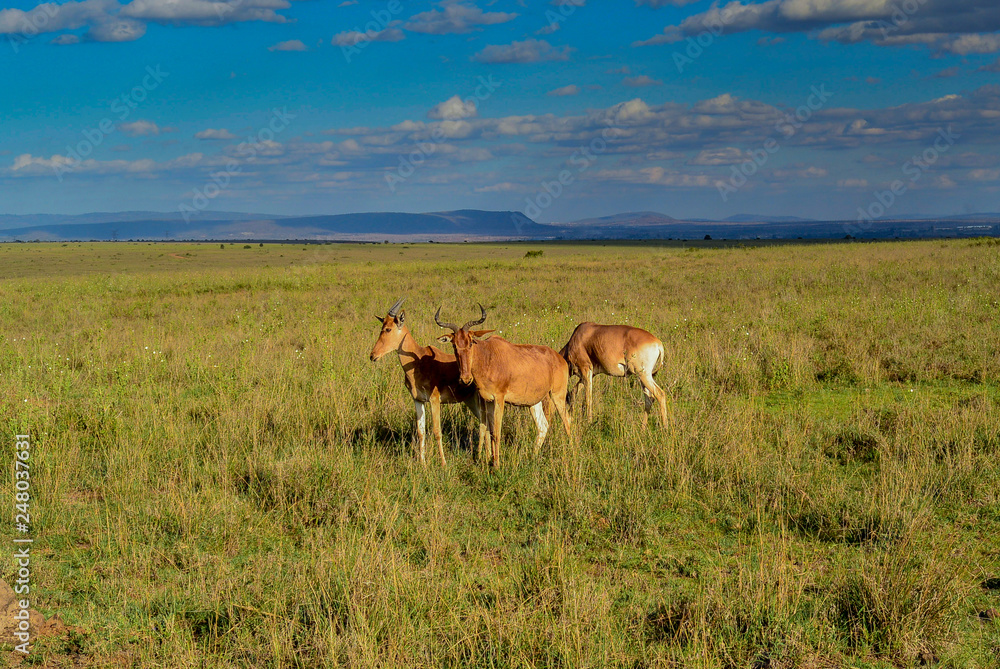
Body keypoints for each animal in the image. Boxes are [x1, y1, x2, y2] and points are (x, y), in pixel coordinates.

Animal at [369, 297, 487, 465]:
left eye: (388, 329)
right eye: (382, 326)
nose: (373, 355)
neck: (419, 360)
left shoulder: (434, 400)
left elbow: (437, 431)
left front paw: (443, 463)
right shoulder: (418, 400)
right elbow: (421, 432)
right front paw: (422, 463)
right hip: (470, 401)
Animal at [435, 305, 573, 469]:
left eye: (471, 342)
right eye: (454, 345)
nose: (465, 379)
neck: (488, 356)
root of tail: (559, 358)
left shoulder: (499, 399)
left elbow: (496, 433)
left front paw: (497, 465)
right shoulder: (487, 400)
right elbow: (489, 431)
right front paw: (490, 460)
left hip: (558, 394)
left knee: (567, 420)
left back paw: (574, 452)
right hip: (534, 402)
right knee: (543, 426)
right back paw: (532, 457)